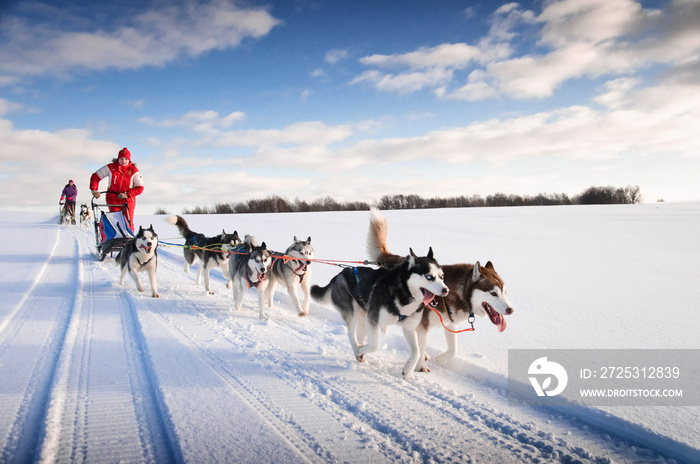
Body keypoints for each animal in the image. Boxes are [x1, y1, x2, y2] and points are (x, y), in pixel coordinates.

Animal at [312, 248, 448, 378]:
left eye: (442, 277)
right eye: (429, 277)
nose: (446, 290)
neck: (404, 292)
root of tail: (340, 274)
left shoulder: (409, 328)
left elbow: (417, 351)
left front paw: (408, 370)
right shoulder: (373, 320)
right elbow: (374, 345)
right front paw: (360, 350)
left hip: (363, 316)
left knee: (360, 335)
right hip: (353, 312)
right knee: (351, 333)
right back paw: (358, 350)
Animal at [366, 208, 516, 374]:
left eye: (505, 292)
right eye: (493, 293)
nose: (510, 310)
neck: (458, 294)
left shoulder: (450, 325)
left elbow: (453, 350)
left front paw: (439, 358)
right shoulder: (422, 326)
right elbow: (420, 346)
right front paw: (420, 366)